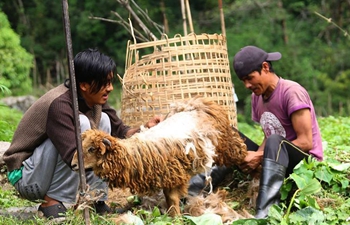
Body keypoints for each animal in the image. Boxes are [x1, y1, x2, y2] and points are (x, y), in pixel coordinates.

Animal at [70, 96, 246, 216]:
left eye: (91, 149)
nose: (73, 165)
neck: (135, 154)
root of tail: (197, 103)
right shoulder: (167, 178)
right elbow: (169, 200)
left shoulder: (172, 176)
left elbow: (173, 200)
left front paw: (176, 218)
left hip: (227, 145)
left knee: (241, 153)